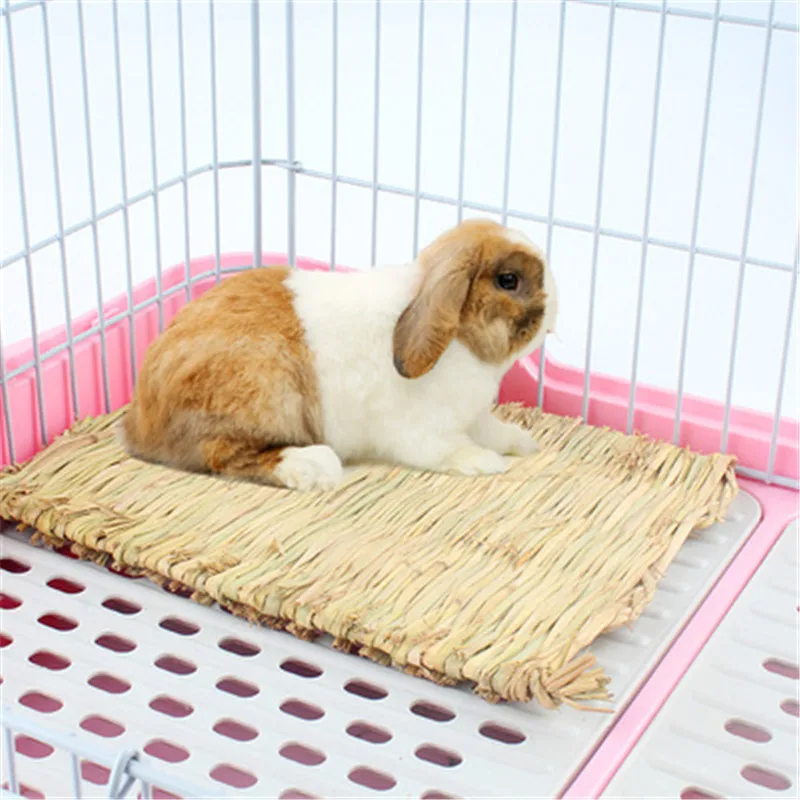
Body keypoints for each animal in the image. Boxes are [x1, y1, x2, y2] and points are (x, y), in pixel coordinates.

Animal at [120, 218, 558, 491]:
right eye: (508, 280)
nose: (555, 307)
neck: (459, 341)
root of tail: (140, 424)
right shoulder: (422, 431)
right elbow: (444, 450)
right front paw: (483, 461)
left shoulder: (474, 416)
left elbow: (492, 429)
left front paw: (522, 443)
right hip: (264, 395)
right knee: (222, 454)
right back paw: (311, 467)